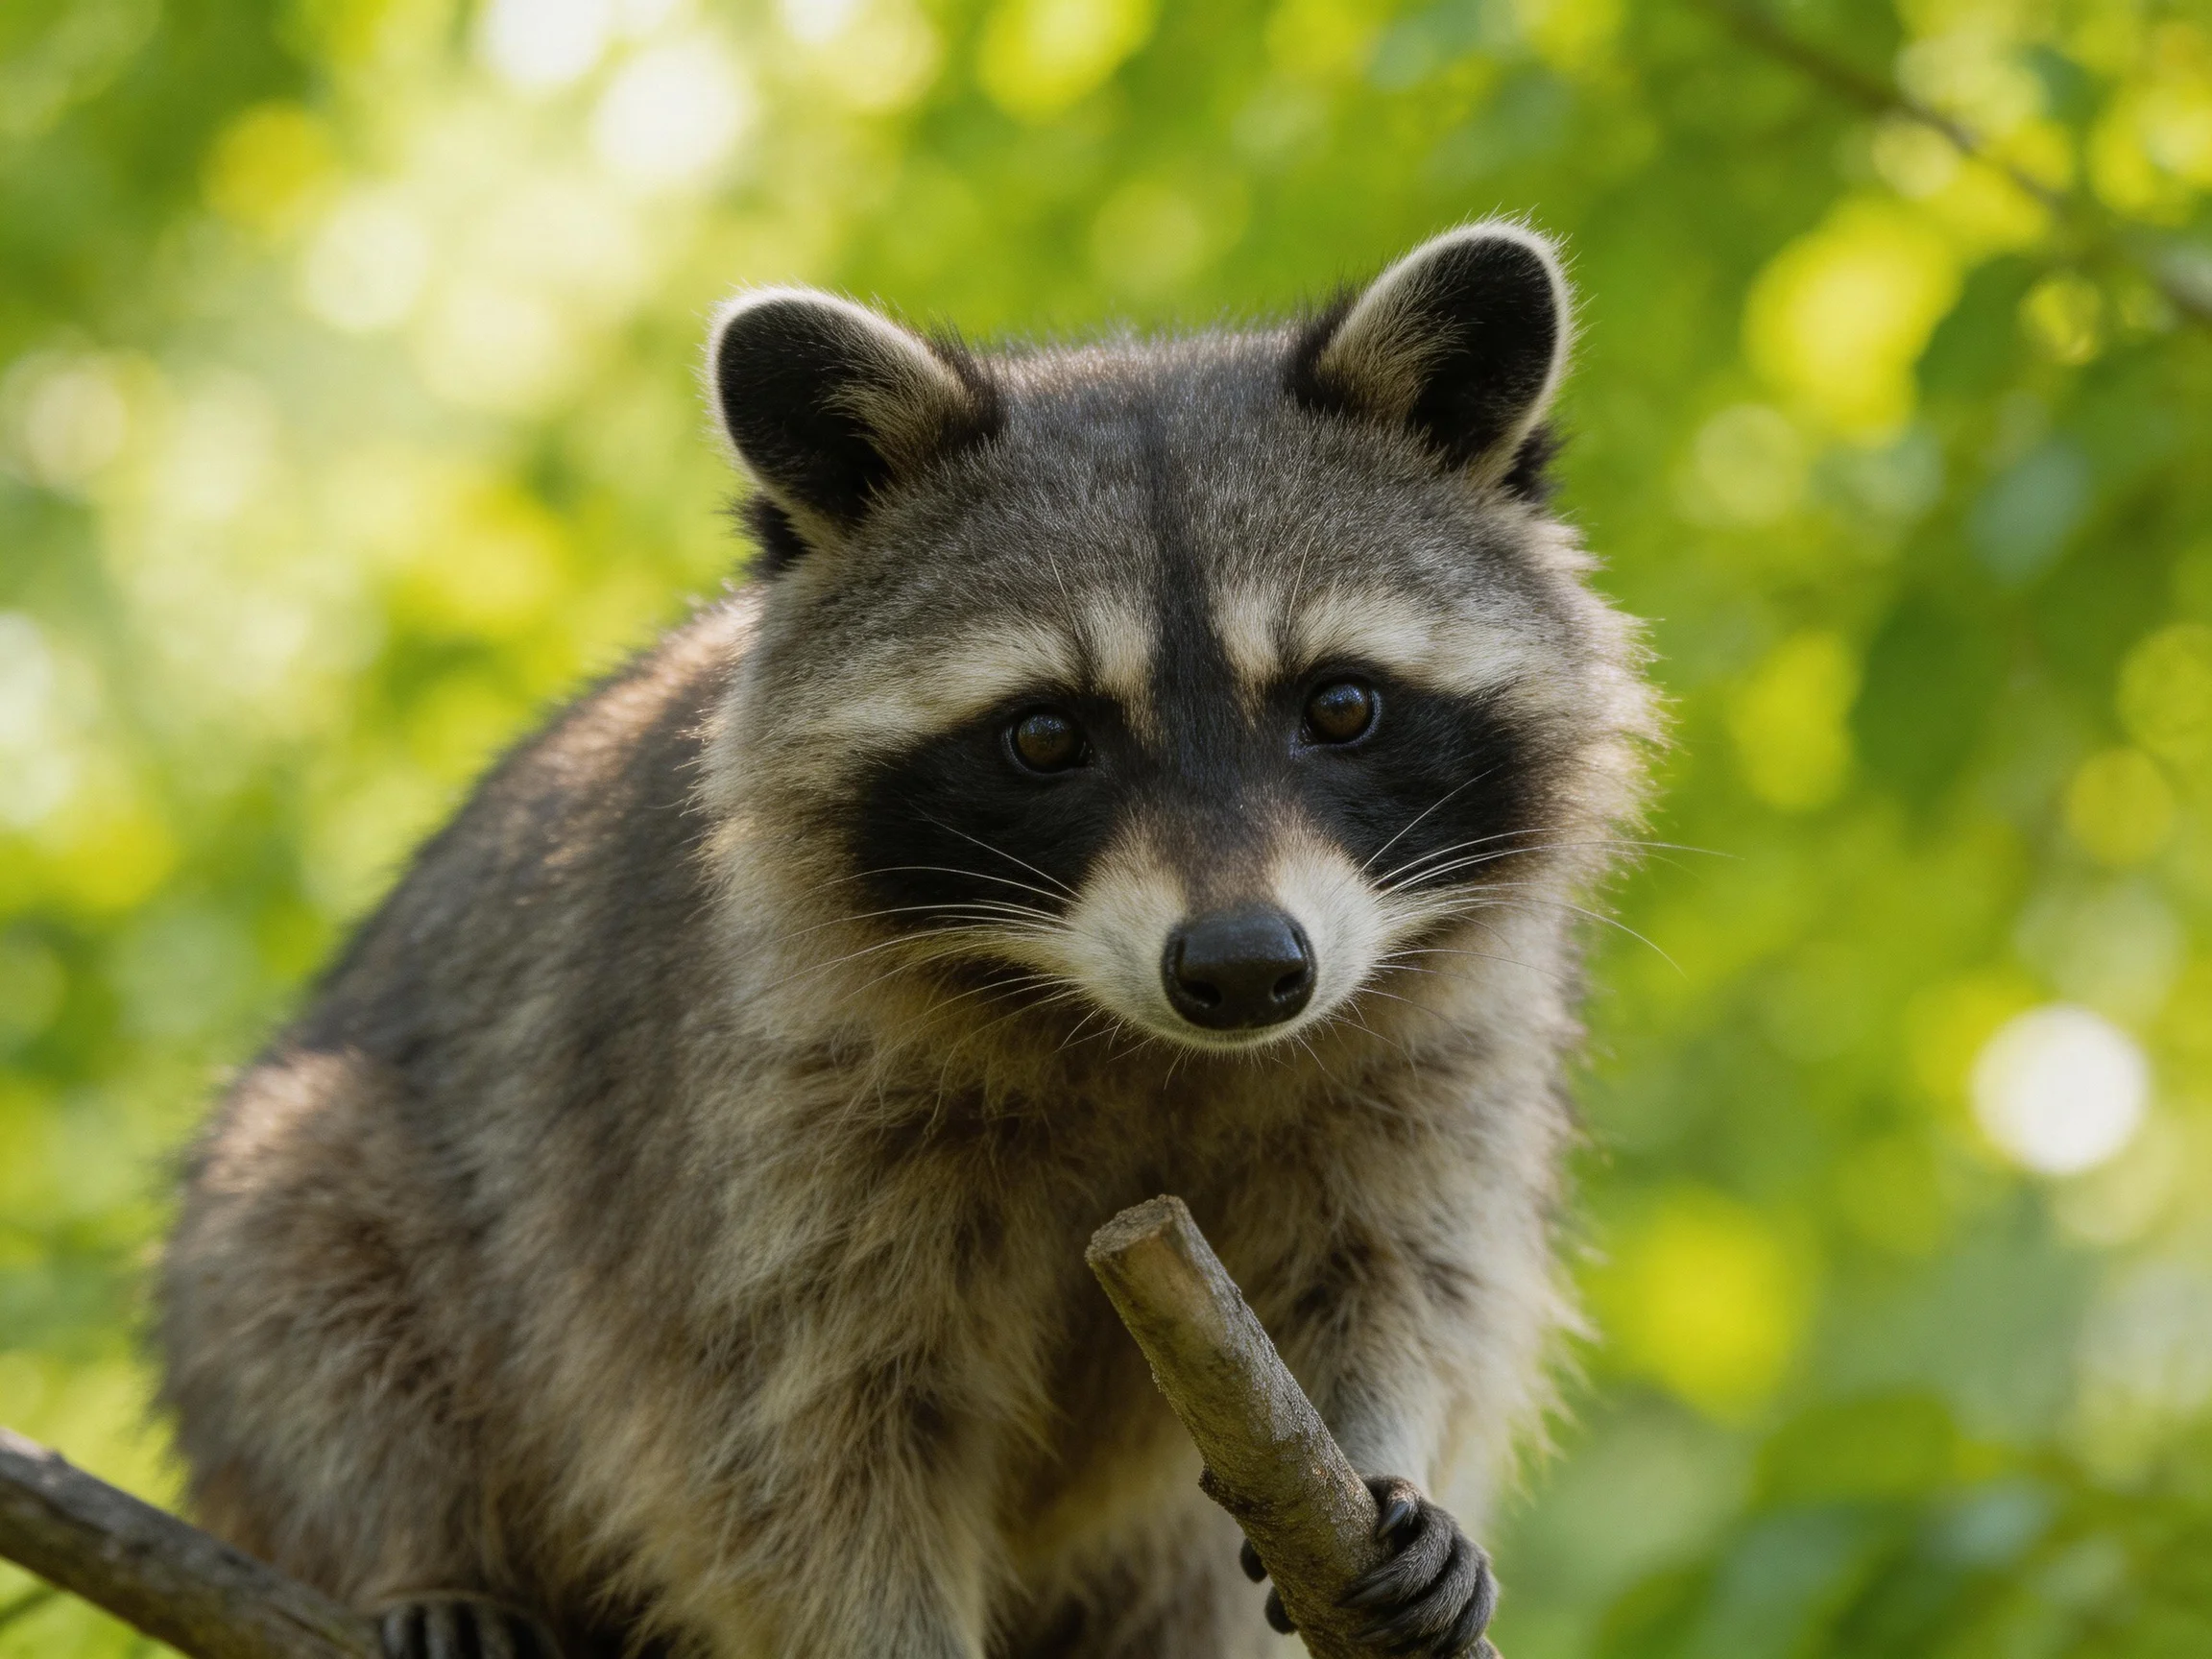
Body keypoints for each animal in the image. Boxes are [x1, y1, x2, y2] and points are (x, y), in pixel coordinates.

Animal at [158, 224, 1655, 1659]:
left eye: (1340, 705)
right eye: (1044, 735)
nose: (1241, 969)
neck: (1133, 1034)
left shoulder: (1439, 1052)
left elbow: (1409, 1278)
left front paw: (1386, 1451)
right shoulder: (745, 1131)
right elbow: (783, 1440)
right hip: (332, 1234)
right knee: (300, 1279)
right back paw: (419, 1552)